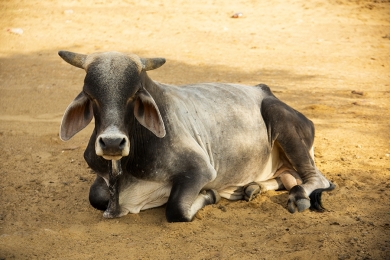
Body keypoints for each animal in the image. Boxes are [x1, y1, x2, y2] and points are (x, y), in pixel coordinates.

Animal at [58, 51, 336, 223]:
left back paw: (298, 196)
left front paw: (210, 195)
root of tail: (266, 91)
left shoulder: (200, 170)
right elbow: (96, 197)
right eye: (90, 95)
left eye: (134, 95)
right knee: (285, 178)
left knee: (316, 179)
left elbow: (177, 208)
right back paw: (252, 188)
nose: (112, 143)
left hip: (281, 121)